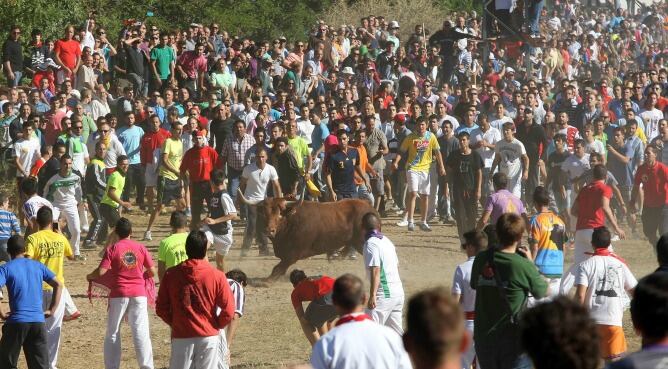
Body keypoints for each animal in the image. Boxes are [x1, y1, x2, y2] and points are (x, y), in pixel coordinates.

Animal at [239, 190, 376, 278]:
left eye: (280, 213)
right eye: (264, 213)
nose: (269, 230)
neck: (291, 221)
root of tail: (369, 207)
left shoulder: (293, 255)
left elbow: (277, 269)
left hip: (362, 243)